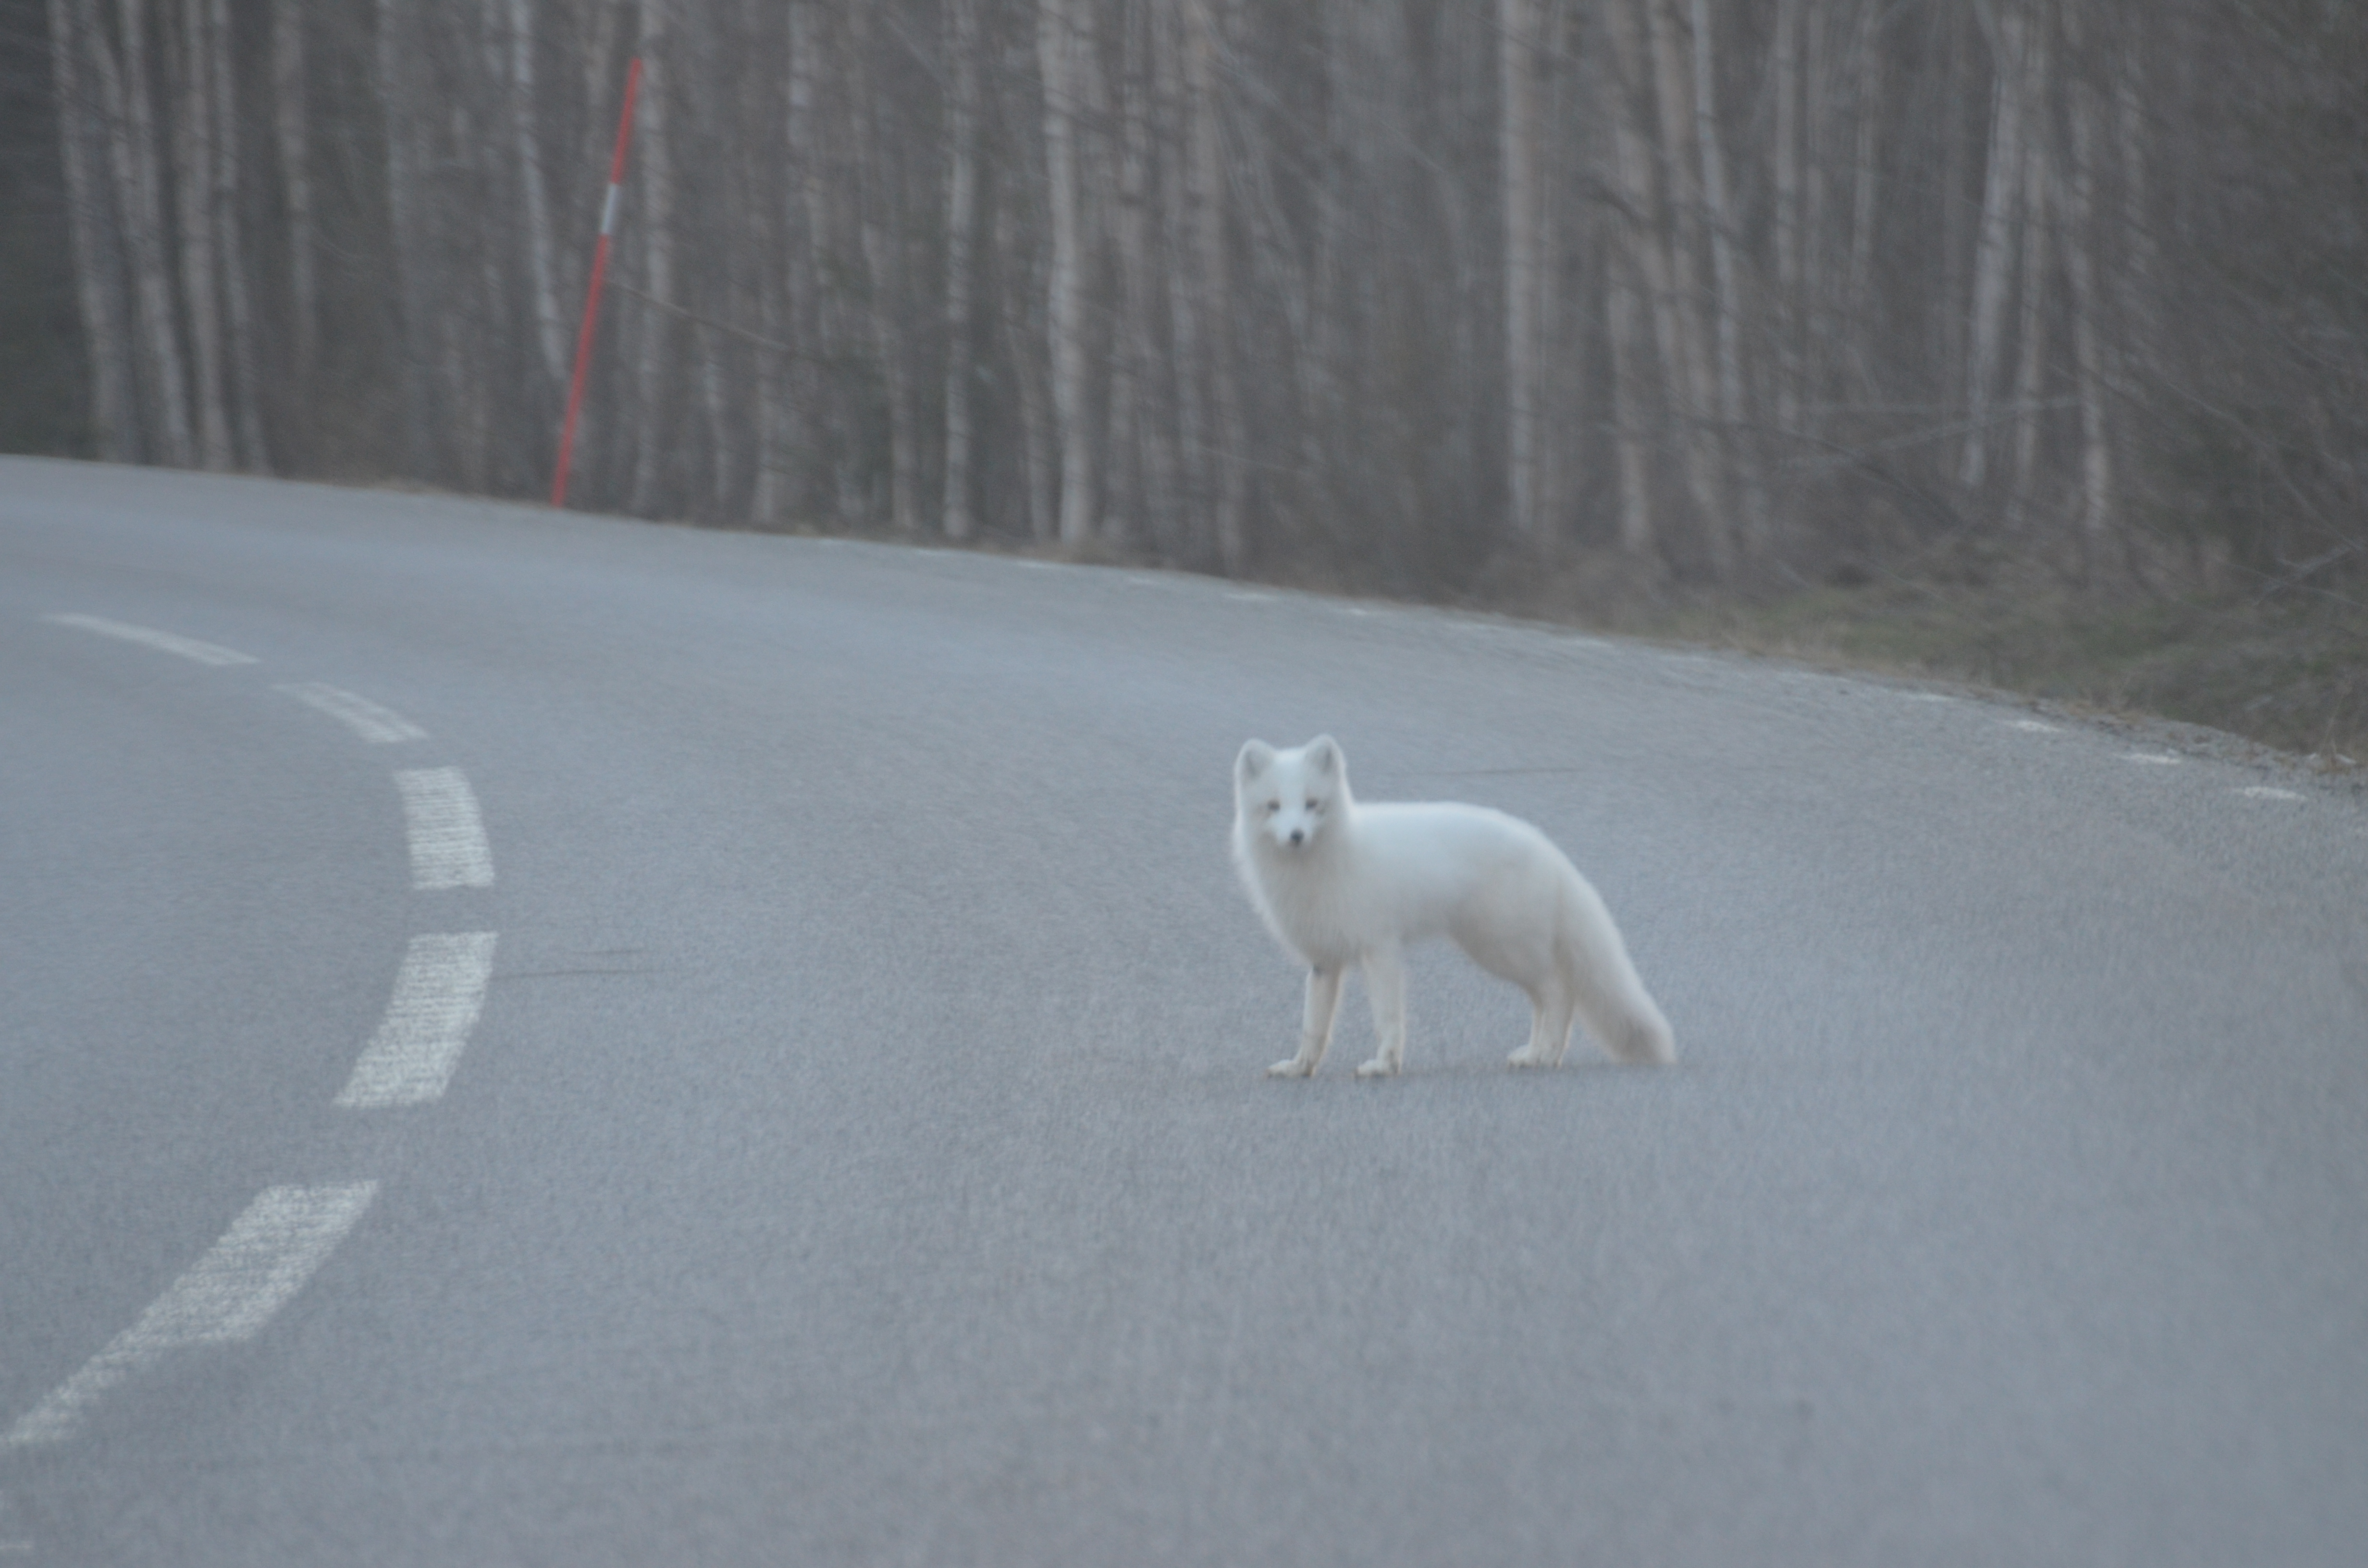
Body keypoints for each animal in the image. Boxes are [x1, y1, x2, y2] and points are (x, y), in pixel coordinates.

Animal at [1231, 739, 1677, 1080]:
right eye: (1273, 806)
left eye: (1312, 804)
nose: (1296, 836)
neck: (1325, 864)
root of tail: (1550, 851)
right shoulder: (1324, 961)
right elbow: (1313, 1026)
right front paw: (1300, 1068)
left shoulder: (1381, 949)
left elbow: (1386, 1018)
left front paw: (1383, 1066)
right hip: (1504, 951)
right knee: (1546, 998)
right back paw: (1533, 1054)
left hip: (1503, 949)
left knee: (1559, 992)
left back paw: (1549, 1054)